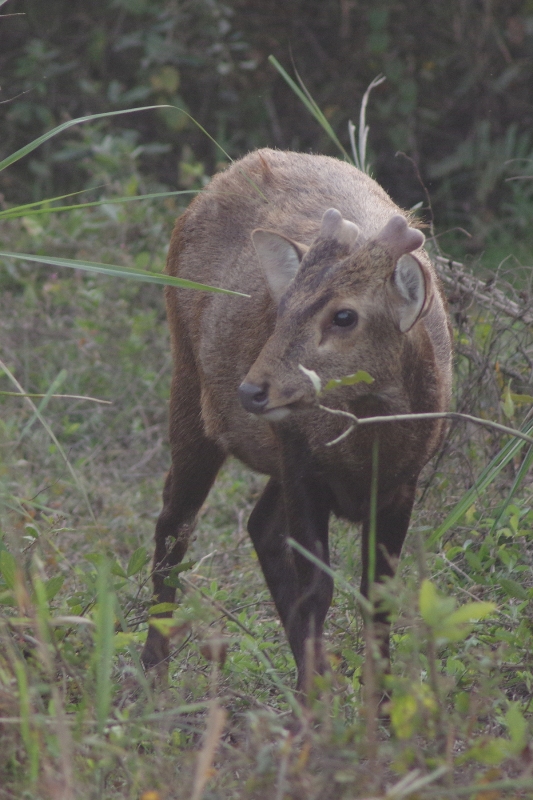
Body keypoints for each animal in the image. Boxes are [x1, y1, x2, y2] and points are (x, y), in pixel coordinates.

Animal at [139, 148, 450, 692]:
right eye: (281, 307)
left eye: (345, 315)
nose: (251, 390)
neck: (368, 450)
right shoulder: (303, 464)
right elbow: (318, 589)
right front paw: (312, 706)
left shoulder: (403, 483)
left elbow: (377, 598)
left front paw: (379, 702)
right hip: (190, 388)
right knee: (175, 522)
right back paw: (154, 672)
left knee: (257, 526)